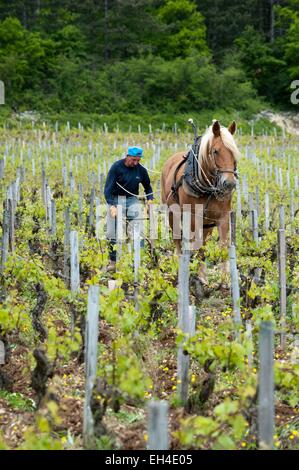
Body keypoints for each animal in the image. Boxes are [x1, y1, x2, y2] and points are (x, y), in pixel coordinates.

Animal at [161, 119, 240, 284]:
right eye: (215, 151)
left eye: (234, 152)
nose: (229, 183)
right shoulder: (193, 218)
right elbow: (199, 247)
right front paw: (202, 276)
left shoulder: (222, 218)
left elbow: (223, 246)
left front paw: (225, 279)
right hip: (172, 213)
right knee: (177, 239)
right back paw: (180, 264)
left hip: (207, 223)